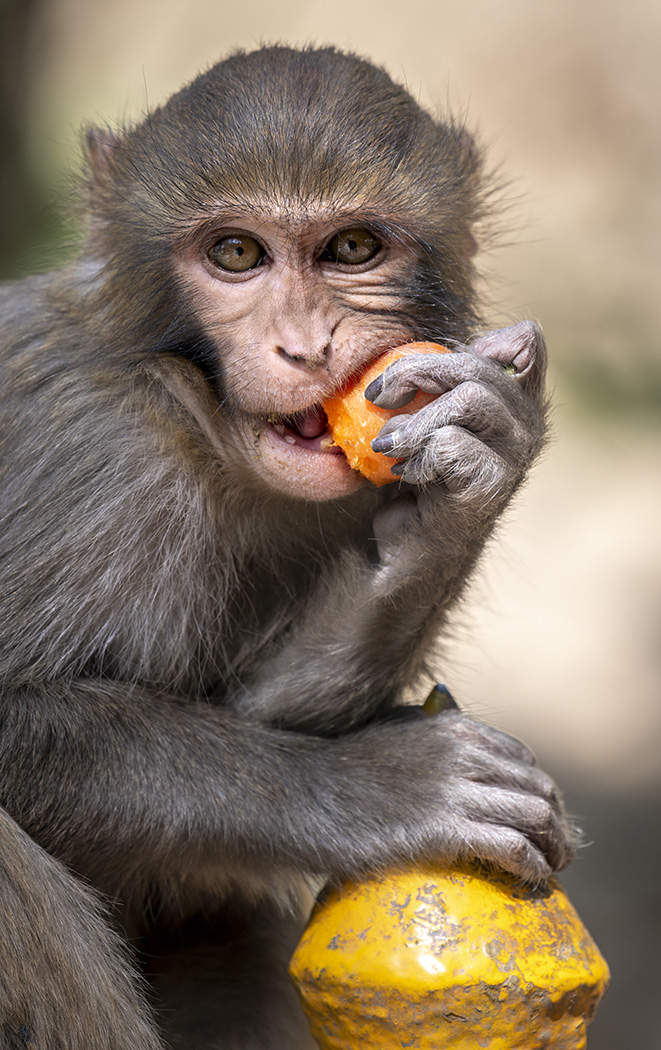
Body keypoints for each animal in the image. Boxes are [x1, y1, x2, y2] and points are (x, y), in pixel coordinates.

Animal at [0, 43, 574, 1050]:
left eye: (351, 250)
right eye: (236, 254)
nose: (306, 347)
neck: (195, 420)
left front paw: (468, 485)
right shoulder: (88, 460)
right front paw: (385, 790)